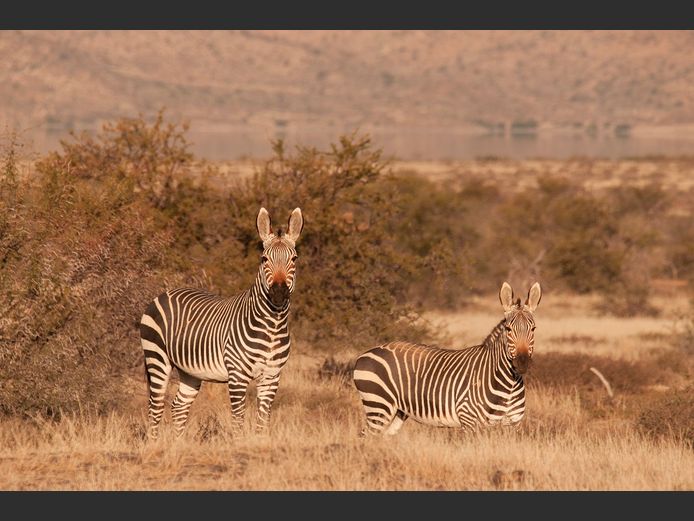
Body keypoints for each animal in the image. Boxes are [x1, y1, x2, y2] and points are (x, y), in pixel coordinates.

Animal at [139, 207, 304, 439]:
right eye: (264, 259)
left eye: (294, 259)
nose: (279, 294)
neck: (272, 325)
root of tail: (164, 293)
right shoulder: (237, 375)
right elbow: (238, 420)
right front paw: (238, 444)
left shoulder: (272, 376)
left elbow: (263, 421)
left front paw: (259, 443)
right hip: (157, 357)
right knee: (156, 406)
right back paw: (155, 443)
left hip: (189, 371)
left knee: (179, 406)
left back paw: (178, 443)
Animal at [352, 281, 542, 436]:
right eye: (509, 329)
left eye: (533, 329)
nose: (522, 363)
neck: (509, 384)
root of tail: (366, 353)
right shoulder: (469, 421)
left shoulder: (512, 425)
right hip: (378, 405)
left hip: (397, 411)